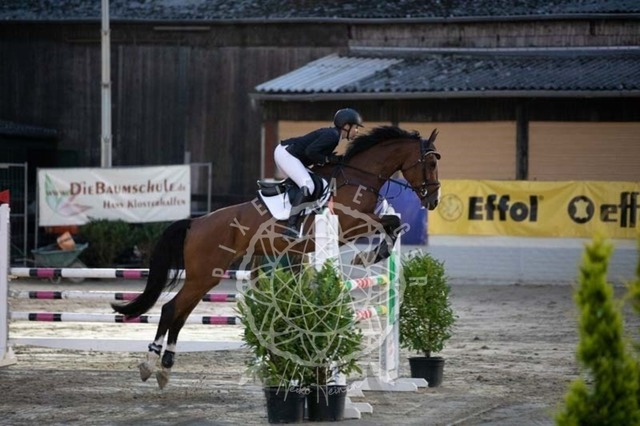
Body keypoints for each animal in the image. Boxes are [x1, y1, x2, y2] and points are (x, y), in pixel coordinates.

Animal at [111, 125, 441, 389]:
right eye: (429, 162)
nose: (434, 200)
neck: (359, 177)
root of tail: (196, 222)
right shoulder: (349, 226)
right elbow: (389, 222)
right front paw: (372, 254)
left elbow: (393, 223)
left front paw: (377, 252)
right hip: (203, 275)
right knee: (171, 310)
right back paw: (150, 365)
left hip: (206, 277)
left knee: (180, 313)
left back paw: (165, 368)